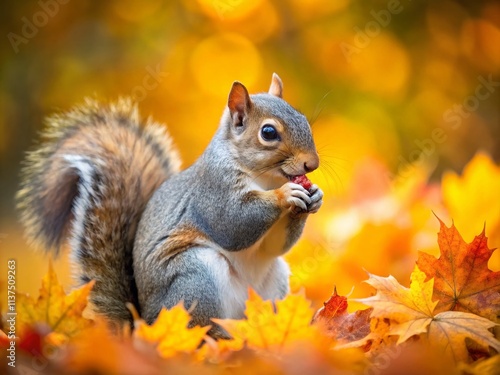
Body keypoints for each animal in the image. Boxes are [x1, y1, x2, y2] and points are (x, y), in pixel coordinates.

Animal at [16, 72, 324, 338]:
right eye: (268, 132)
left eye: (302, 118)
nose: (312, 164)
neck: (265, 178)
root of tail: (144, 323)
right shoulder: (212, 192)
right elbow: (233, 224)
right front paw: (286, 195)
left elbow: (273, 246)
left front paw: (313, 197)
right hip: (195, 278)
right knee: (202, 328)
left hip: (272, 283)